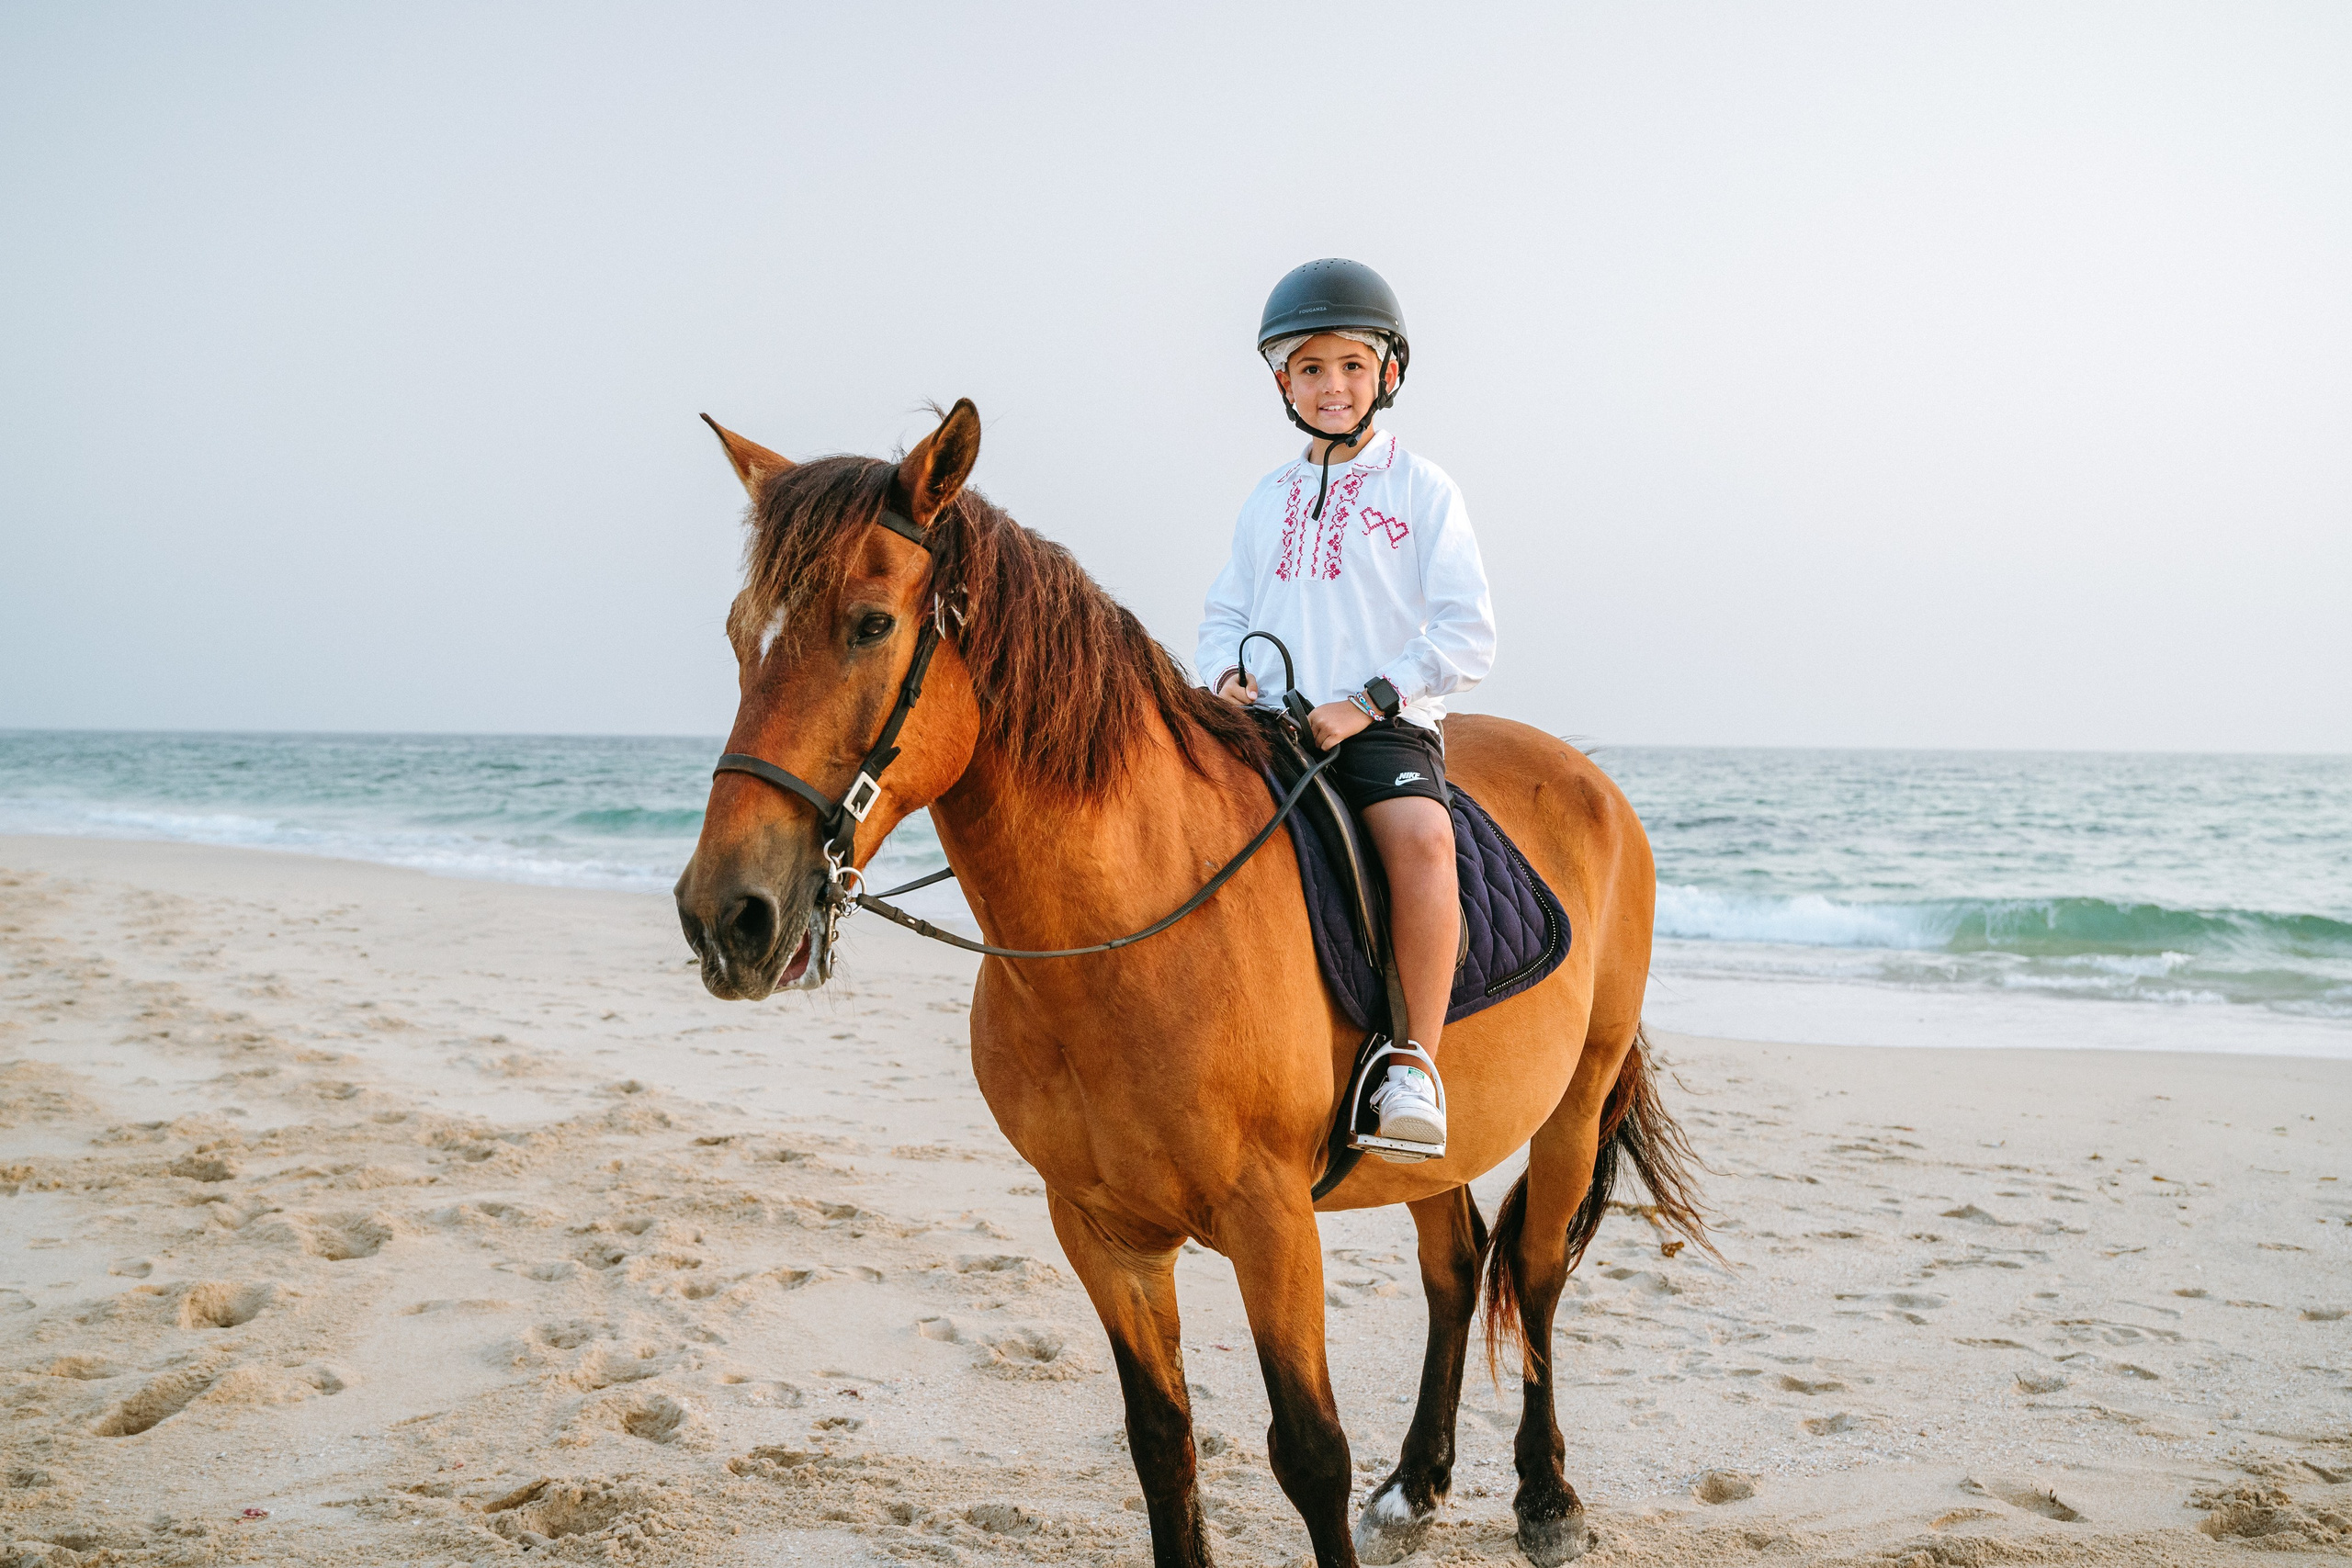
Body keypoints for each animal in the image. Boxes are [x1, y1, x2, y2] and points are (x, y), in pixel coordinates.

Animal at [673, 401, 1709, 1567]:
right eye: (739, 635)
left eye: (867, 625)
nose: (726, 918)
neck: (1123, 940)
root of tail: (1591, 781)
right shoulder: (1099, 1232)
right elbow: (1161, 1443)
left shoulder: (1271, 1221)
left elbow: (1309, 1451)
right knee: (1454, 1268)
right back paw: (1418, 1484)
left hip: (1576, 1098)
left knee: (1530, 1275)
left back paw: (1545, 1496)